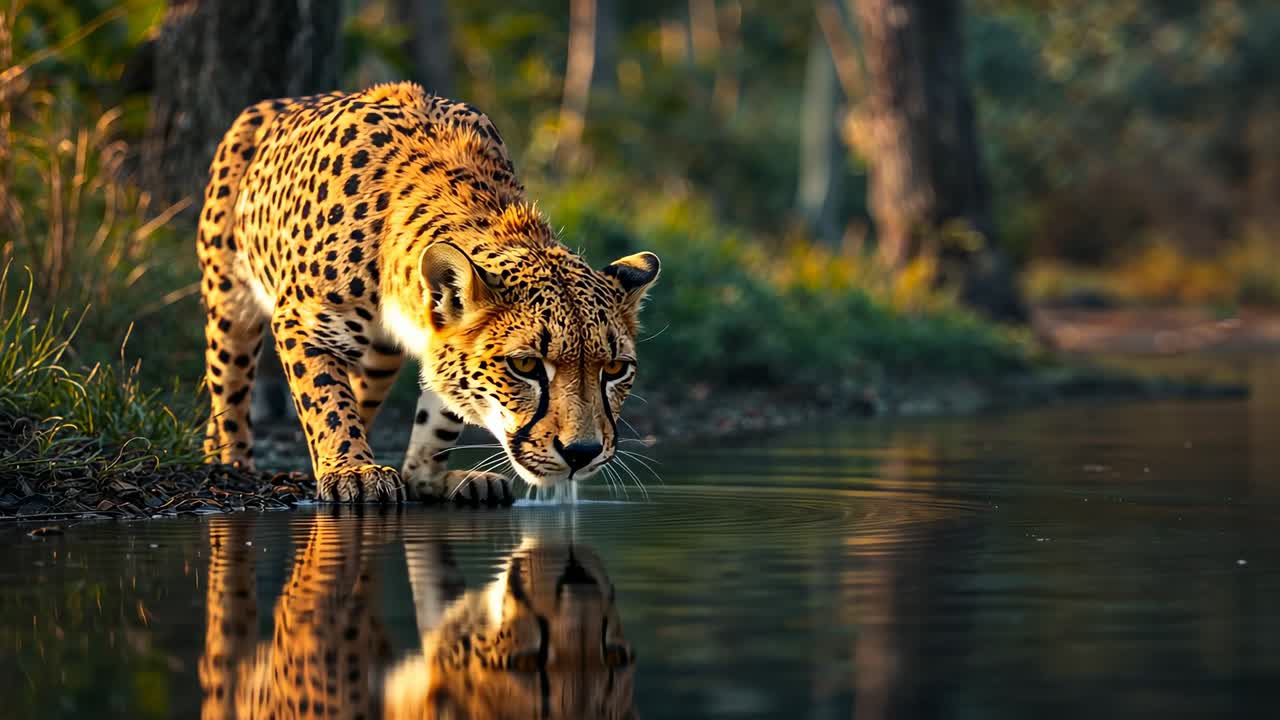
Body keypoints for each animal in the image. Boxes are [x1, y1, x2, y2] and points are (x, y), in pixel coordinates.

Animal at [196, 81, 660, 503]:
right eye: (525, 365)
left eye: (615, 369)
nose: (582, 453)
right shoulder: (304, 323)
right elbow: (326, 401)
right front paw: (353, 470)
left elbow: (441, 412)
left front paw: (426, 478)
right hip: (229, 302)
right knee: (229, 385)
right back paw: (229, 459)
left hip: (381, 357)